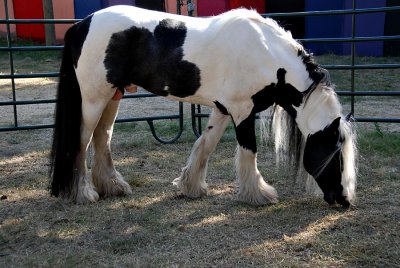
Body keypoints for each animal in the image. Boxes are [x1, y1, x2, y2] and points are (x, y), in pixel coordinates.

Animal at [48, 5, 358, 207]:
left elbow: (205, 145)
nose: (344, 200)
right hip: (93, 98)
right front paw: (258, 195)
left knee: (103, 137)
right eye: (335, 156)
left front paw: (190, 187)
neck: (264, 53)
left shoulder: (222, 108)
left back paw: (113, 187)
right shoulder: (242, 111)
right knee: (82, 141)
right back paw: (83, 193)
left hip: (113, 95)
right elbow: (248, 152)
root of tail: (81, 24)